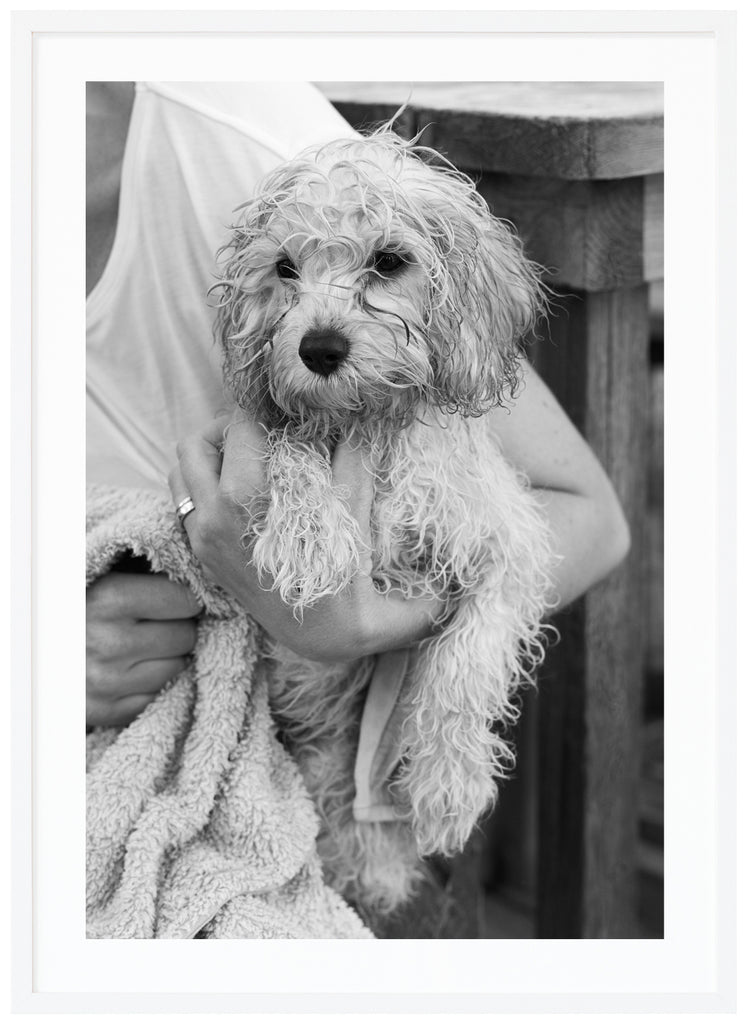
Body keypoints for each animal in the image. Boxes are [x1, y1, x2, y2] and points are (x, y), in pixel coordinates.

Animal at [213, 128, 549, 913]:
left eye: (390, 260)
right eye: (284, 267)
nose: (319, 349)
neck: (372, 426)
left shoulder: (505, 548)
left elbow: (465, 664)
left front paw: (449, 785)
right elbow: (294, 442)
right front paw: (308, 534)